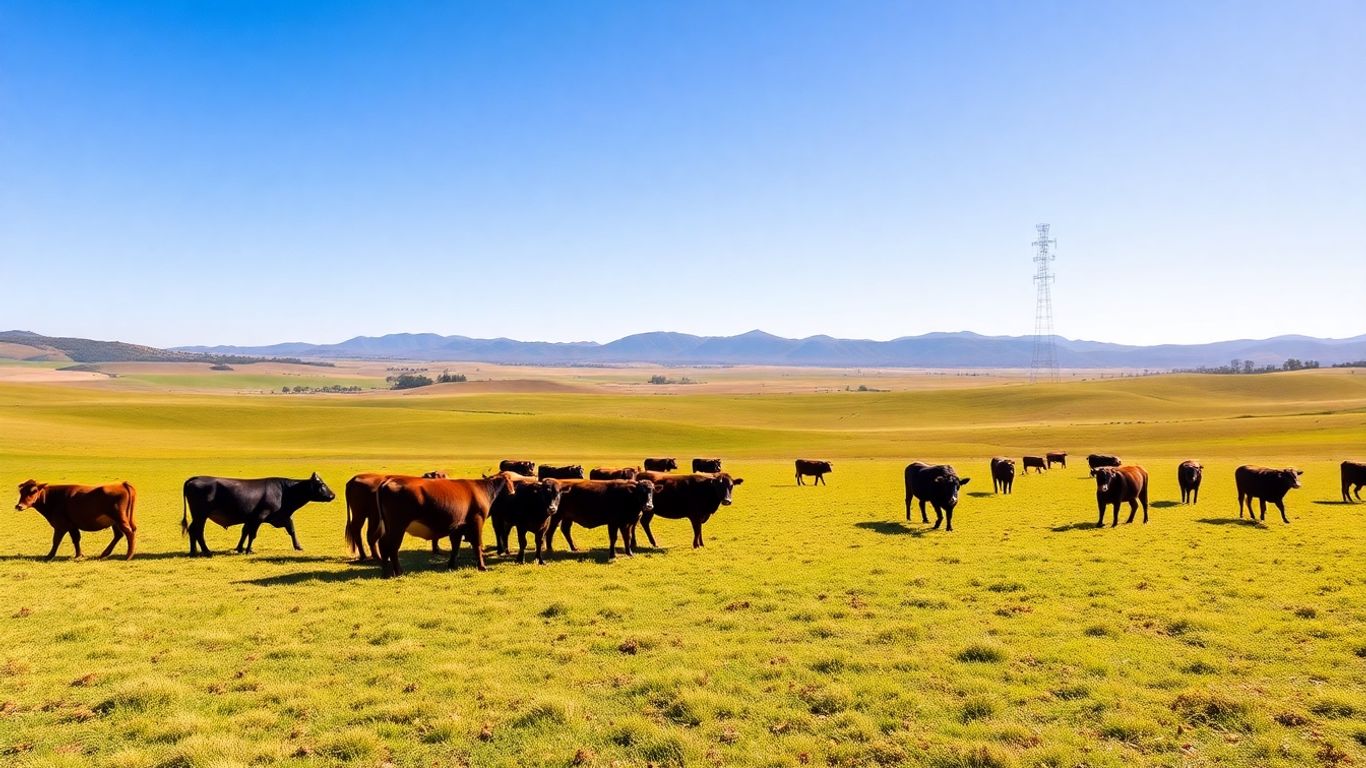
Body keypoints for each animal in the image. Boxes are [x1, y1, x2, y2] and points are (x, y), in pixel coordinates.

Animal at [182, 473, 335, 556]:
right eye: (322, 484)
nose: (333, 495)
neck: (284, 491)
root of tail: (196, 478)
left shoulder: (282, 516)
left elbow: (291, 530)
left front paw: (298, 546)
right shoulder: (259, 517)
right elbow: (252, 534)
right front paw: (248, 550)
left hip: (198, 516)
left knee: (192, 530)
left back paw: (193, 552)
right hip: (201, 514)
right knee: (197, 531)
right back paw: (206, 552)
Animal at [375, 473, 516, 576]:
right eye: (509, 481)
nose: (513, 492)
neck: (482, 489)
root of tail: (389, 480)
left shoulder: (458, 526)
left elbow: (455, 546)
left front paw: (451, 565)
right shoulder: (477, 521)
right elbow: (477, 544)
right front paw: (482, 566)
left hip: (389, 526)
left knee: (383, 544)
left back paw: (385, 572)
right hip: (397, 526)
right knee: (392, 546)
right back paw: (398, 571)